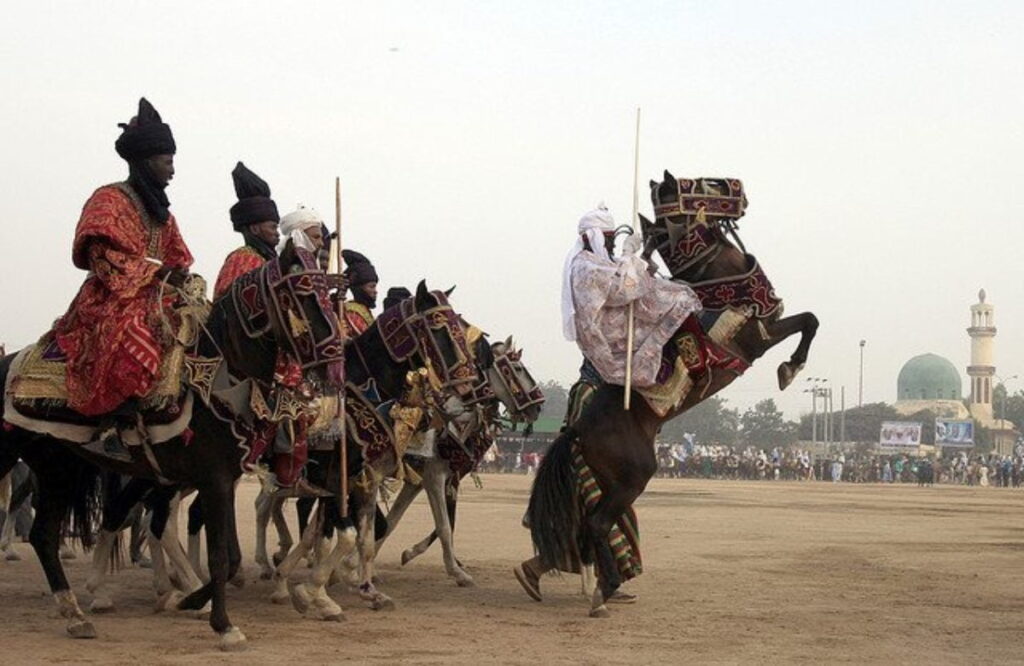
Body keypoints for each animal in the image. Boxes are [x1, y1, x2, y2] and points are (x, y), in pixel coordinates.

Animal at [0, 240, 344, 647]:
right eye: (302, 296)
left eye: (328, 293)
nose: (334, 361)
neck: (225, 378)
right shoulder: (214, 479)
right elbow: (220, 556)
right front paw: (222, 623)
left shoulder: (224, 477)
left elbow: (231, 558)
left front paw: (192, 601)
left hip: (60, 466)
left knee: (47, 533)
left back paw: (76, 614)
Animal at [520, 170, 815, 610]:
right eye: (703, 186)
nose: (738, 190)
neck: (718, 287)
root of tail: (576, 429)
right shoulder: (755, 338)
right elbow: (809, 321)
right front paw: (790, 369)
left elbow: (808, 319)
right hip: (634, 475)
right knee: (598, 522)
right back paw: (603, 591)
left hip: (611, 479)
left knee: (585, 526)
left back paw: (552, 576)